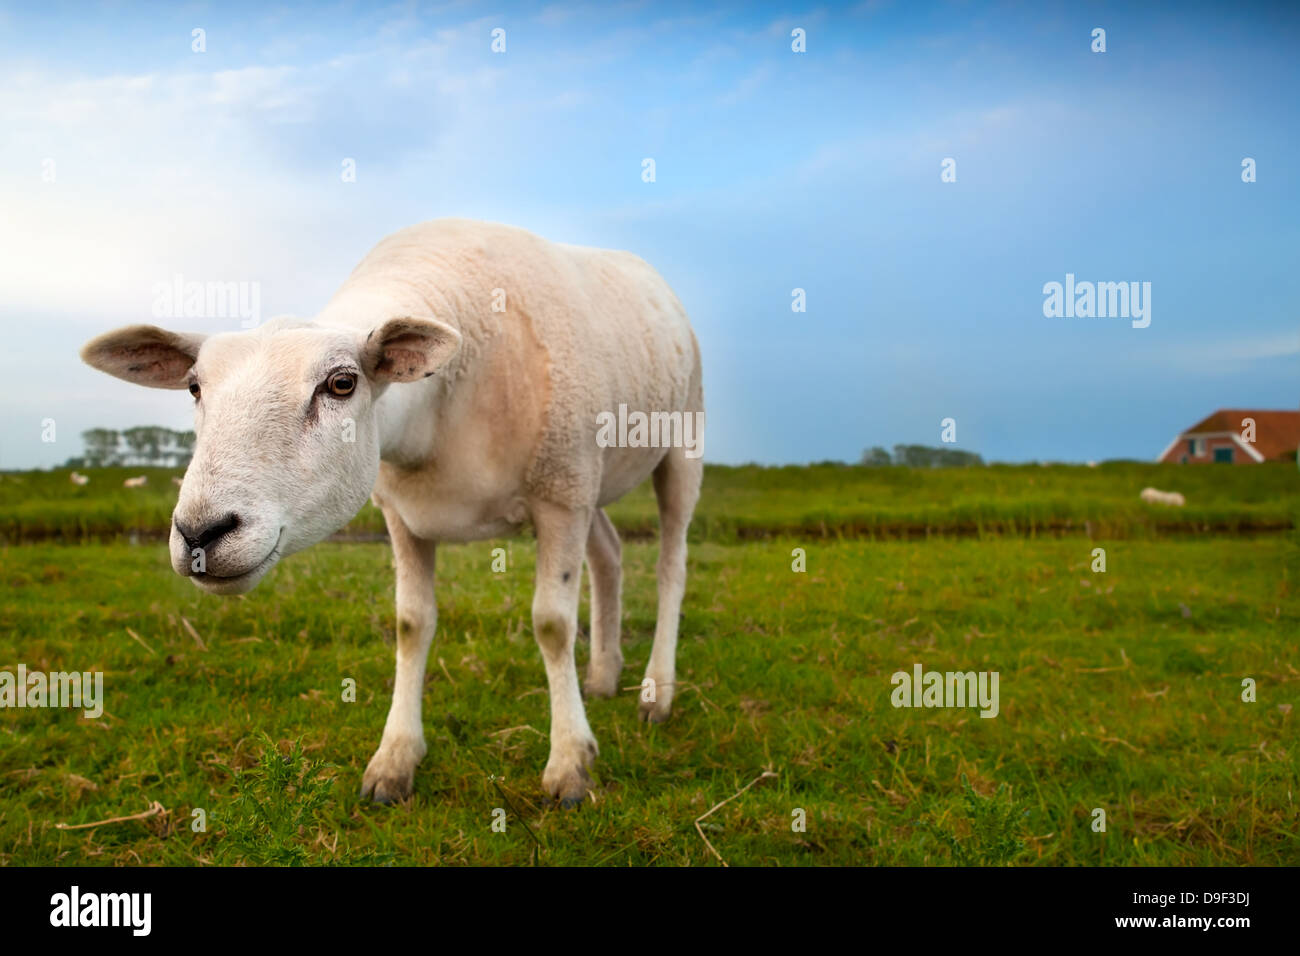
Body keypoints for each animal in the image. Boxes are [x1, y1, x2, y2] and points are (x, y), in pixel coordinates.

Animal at [76, 221, 707, 811]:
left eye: (341, 383)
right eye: (193, 386)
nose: (200, 533)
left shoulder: (562, 492)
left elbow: (551, 625)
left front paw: (571, 762)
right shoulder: (403, 513)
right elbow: (411, 623)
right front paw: (396, 758)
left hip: (678, 446)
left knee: (671, 567)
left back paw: (656, 692)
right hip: (598, 481)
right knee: (610, 556)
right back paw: (602, 675)